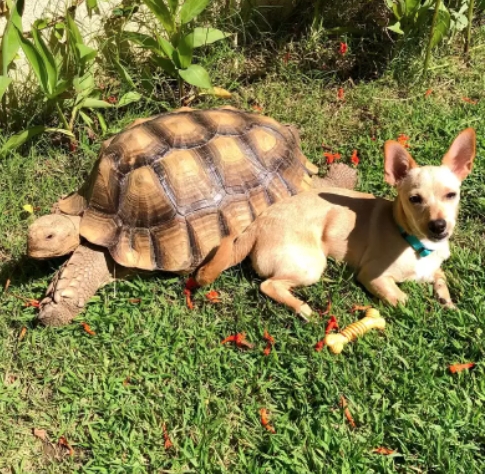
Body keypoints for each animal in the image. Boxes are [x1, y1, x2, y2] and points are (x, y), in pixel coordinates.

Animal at [195, 128, 474, 320]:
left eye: (452, 195)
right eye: (414, 199)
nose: (439, 226)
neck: (415, 243)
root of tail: (257, 224)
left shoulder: (433, 269)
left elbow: (441, 278)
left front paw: (448, 303)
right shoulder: (373, 276)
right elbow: (403, 299)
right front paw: (425, 311)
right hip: (311, 266)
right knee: (268, 285)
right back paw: (302, 308)